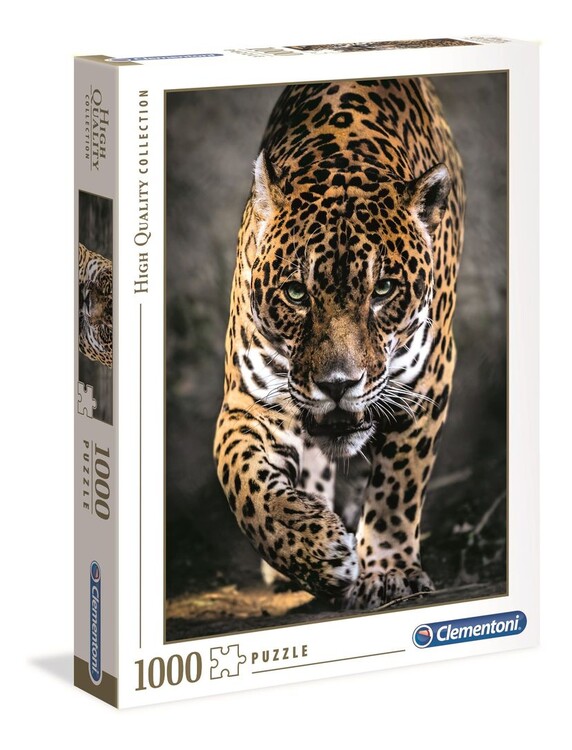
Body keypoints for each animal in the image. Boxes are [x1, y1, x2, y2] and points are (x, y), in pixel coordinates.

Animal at [214, 78, 465, 610]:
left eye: (384, 290)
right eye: (295, 293)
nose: (337, 385)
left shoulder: (427, 381)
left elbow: (398, 484)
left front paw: (388, 571)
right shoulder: (250, 400)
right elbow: (243, 482)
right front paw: (316, 551)